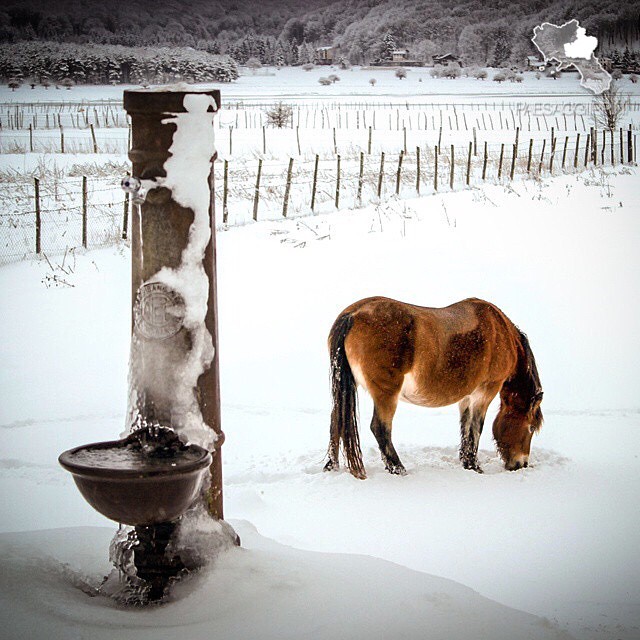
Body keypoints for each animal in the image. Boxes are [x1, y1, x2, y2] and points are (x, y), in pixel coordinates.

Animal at [324, 298, 540, 478]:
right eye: (530, 427)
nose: (520, 464)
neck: (500, 332)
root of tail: (353, 315)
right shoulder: (485, 391)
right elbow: (476, 428)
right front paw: (475, 466)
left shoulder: (466, 396)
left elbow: (465, 427)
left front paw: (466, 463)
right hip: (386, 394)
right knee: (380, 428)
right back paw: (398, 469)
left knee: (336, 422)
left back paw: (331, 466)